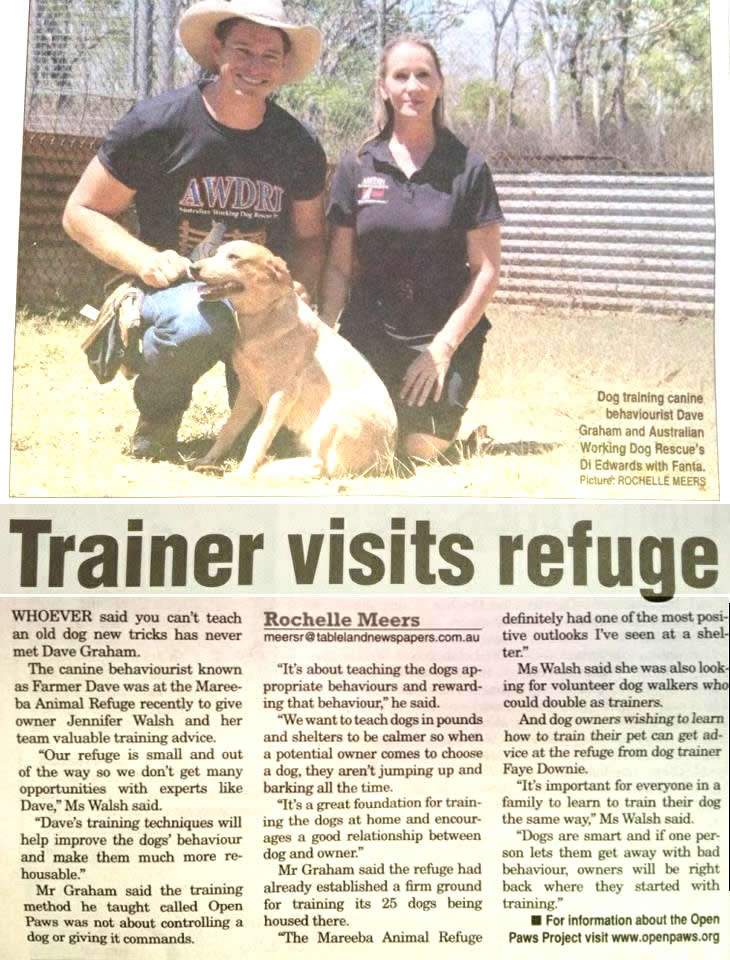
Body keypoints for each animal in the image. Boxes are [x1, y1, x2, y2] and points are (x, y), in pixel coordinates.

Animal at [185, 242, 396, 478]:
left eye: (234, 257)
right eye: (216, 253)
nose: (192, 268)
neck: (264, 317)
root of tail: (386, 460)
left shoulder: (281, 396)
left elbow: (258, 438)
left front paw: (243, 473)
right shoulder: (248, 392)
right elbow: (228, 430)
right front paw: (208, 460)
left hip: (334, 413)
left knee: (318, 467)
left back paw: (270, 469)